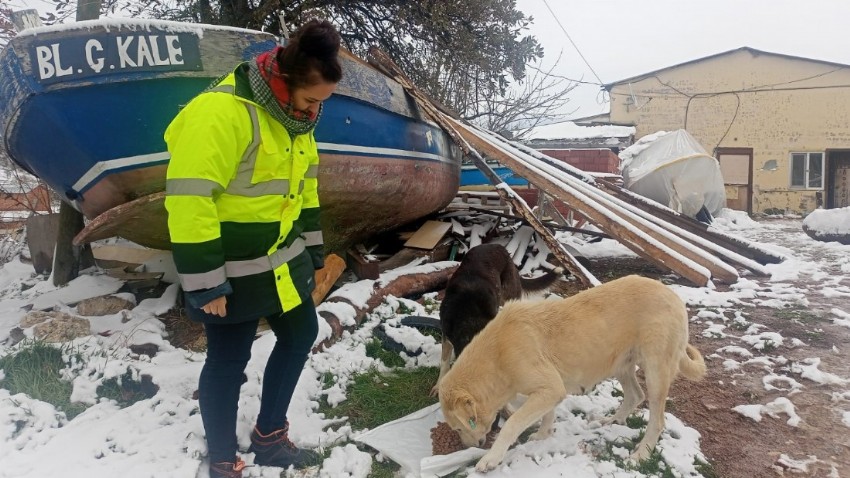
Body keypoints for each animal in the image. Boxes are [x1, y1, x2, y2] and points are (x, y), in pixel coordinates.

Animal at [434, 243, 560, 396]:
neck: (469, 317)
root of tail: (498, 246)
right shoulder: (446, 333)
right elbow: (444, 362)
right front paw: (439, 386)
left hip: (510, 295)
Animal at [438, 274, 704, 472]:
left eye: (459, 428)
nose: (469, 446)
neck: (496, 356)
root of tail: (673, 295)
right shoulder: (549, 390)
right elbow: (547, 415)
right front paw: (543, 435)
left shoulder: (549, 388)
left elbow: (512, 423)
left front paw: (490, 459)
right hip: (619, 364)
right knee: (635, 396)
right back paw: (611, 420)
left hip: (656, 372)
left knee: (657, 421)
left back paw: (641, 454)